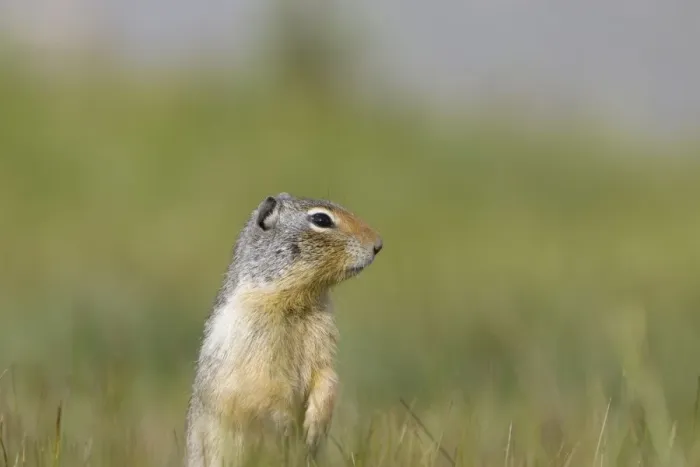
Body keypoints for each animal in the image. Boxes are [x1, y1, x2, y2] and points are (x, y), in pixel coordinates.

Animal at [185, 192, 383, 466]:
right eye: (321, 219)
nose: (378, 244)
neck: (297, 303)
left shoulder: (323, 338)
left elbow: (327, 377)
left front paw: (313, 426)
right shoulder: (251, 340)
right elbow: (264, 388)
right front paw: (286, 426)